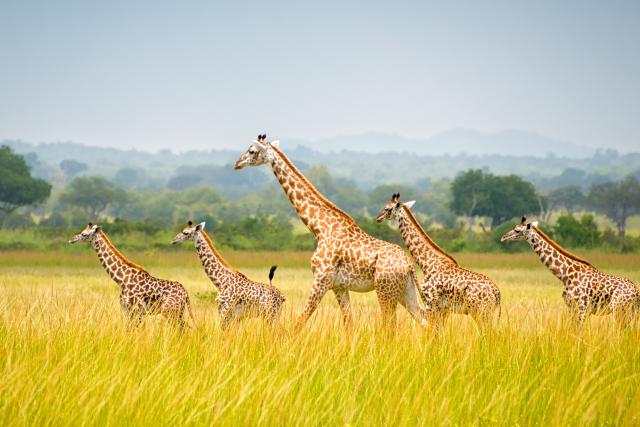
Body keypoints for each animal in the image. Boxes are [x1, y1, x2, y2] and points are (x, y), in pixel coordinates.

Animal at [234, 134, 426, 332]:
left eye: (252, 150)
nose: (237, 163)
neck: (319, 228)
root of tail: (408, 265)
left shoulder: (321, 279)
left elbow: (300, 321)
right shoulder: (339, 286)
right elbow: (349, 323)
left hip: (385, 291)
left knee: (390, 326)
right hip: (405, 291)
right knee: (424, 320)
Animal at [376, 193, 501, 328]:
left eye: (387, 208)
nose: (378, 218)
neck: (426, 264)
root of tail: (496, 292)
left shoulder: (431, 303)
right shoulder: (444, 309)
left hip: (480, 311)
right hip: (486, 312)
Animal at [501, 217, 640, 327]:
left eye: (517, 230)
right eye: (514, 227)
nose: (503, 237)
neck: (565, 274)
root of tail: (636, 292)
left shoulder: (582, 309)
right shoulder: (572, 308)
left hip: (621, 310)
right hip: (630, 311)